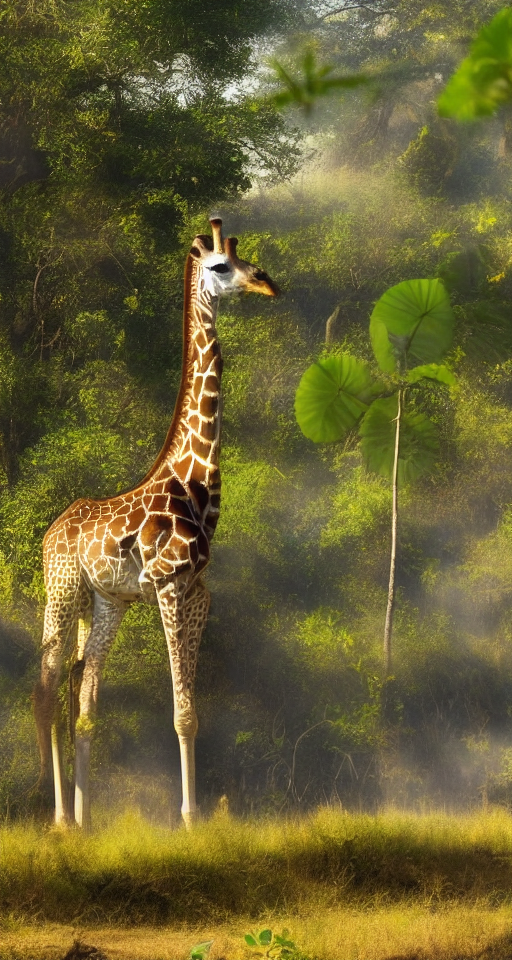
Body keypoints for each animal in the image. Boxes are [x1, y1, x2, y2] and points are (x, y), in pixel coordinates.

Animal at [33, 219, 279, 829]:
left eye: (248, 261)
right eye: (221, 266)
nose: (268, 283)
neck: (194, 481)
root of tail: (49, 534)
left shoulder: (196, 592)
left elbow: (190, 710)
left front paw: (195, 815)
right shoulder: (168, 586)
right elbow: (181, 711)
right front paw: (190, 819)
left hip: (104, 602)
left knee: (82, 695)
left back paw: (84, 821)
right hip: (62, 589)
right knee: (47, 688)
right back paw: (59, 818)